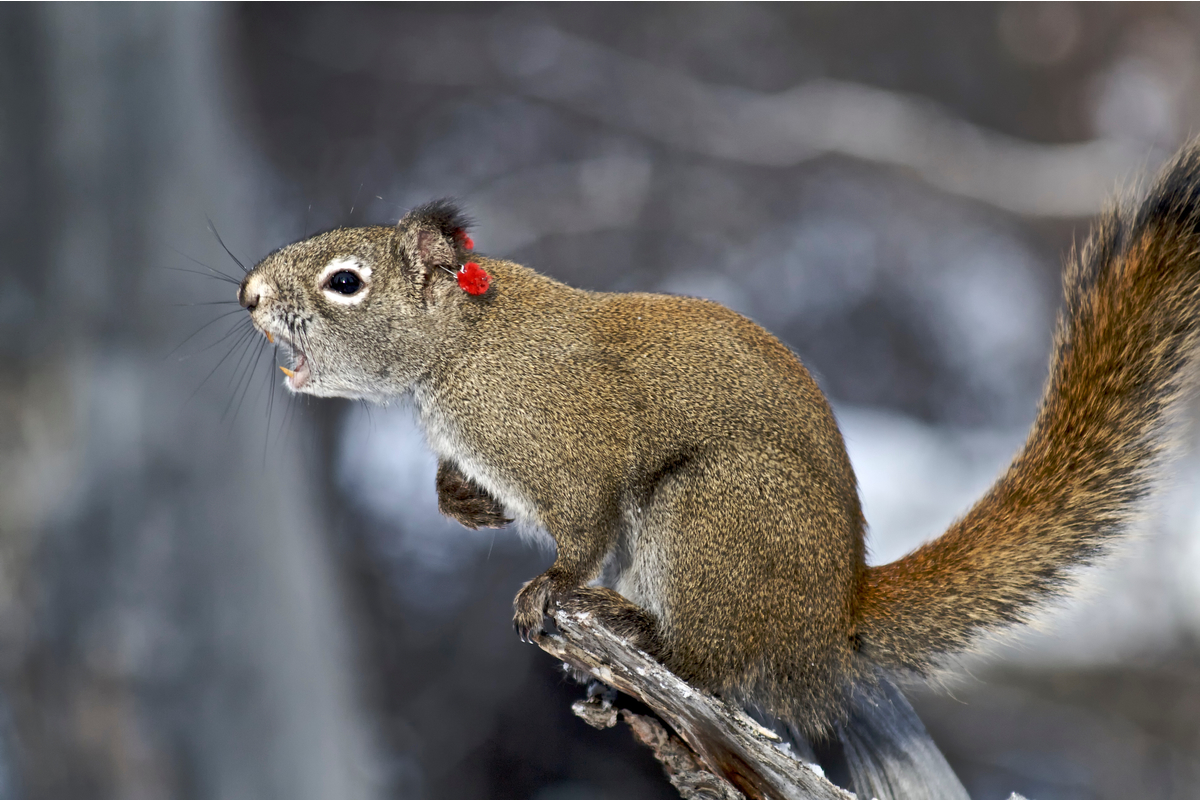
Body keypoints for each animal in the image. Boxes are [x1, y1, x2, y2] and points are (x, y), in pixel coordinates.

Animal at [237, 143, 1200, 798]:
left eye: (346, 281)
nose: (247, 296)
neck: (464, 346)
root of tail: (833, 617)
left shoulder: (574, 442)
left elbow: (583, 526)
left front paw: (549, 587)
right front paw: (460, 501)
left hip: (709, 513)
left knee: (705, 660)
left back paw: (621, 621)